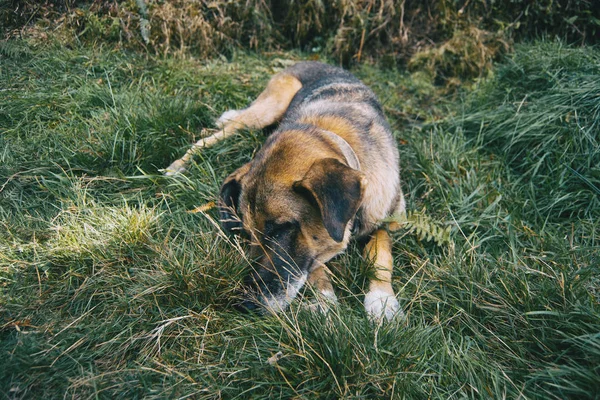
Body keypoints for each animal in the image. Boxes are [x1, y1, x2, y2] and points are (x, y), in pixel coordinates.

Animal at [165, 61, 408, 320]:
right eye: (248, 234)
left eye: (281, 228)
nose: (244, 304)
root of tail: (309, 61)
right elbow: (315, 265)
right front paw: (324, 298)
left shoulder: (389, 220)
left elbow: (381, 254)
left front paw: (382, 300)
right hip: (266, 109)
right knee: (213, 136)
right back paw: (178, 166)